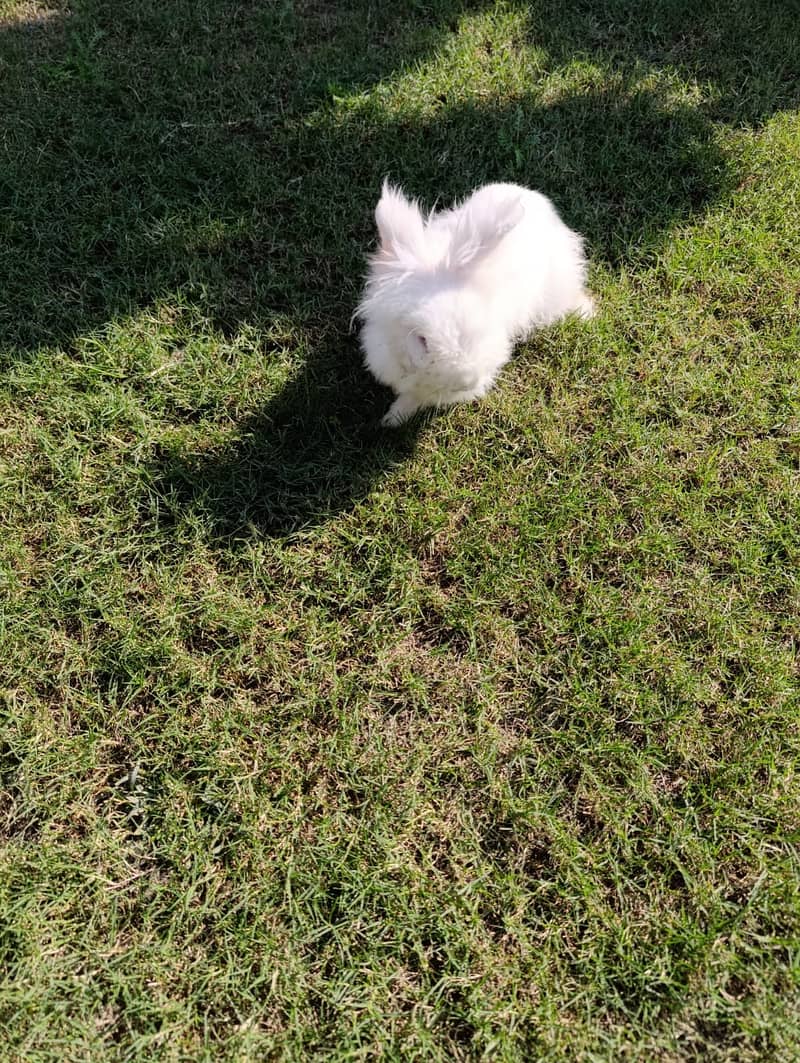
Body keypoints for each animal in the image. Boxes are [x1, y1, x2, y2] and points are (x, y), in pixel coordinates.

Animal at [354, 181, 594, 423]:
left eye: (472, 328)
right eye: (422, 340)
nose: (467, 381)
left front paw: (393, 418)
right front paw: (392, 419)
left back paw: (586, 312)